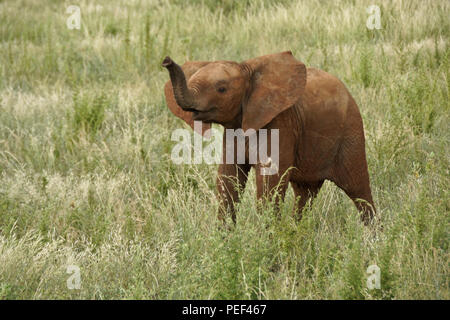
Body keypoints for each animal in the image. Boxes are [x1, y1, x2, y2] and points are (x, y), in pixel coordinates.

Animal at [162, 50, 376, 225]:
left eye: (221, 89)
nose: (166, 60)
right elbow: (228, 179)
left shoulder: (280, 124)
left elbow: (268, 182)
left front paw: (265, 242)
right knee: (305, 193)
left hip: (351, 132)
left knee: (359, 189)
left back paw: (372, 238)